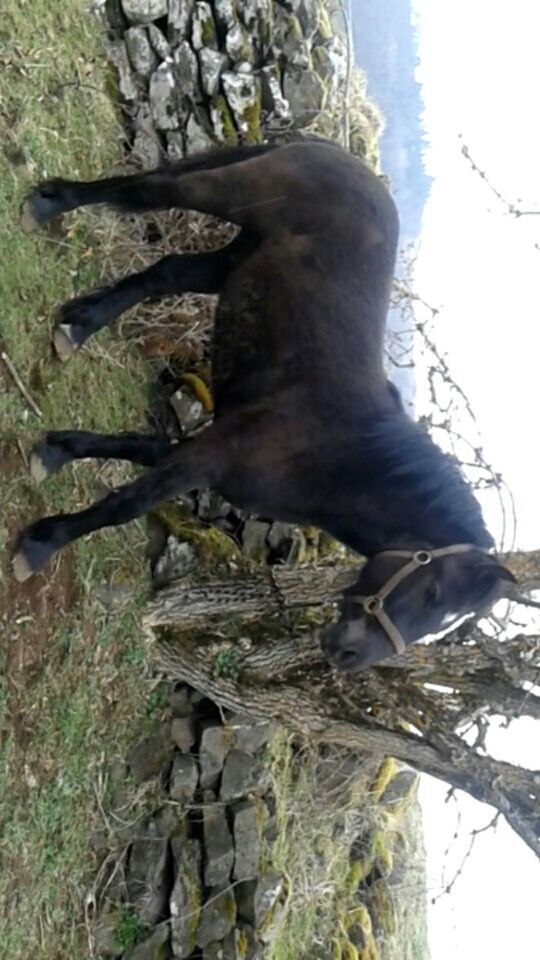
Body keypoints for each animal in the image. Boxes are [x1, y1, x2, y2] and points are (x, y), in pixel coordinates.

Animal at [10, 141, 512, 668]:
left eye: (443, 620)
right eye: (434, 593)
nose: (348, 657)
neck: (336, 451)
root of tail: (339, 156)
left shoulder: (211, 453)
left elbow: (135, 448)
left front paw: (56, 451)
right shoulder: (211, 454)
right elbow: (125, 504)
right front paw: (42, 545)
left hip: (239, 256)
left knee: (169, 270)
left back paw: (79, 325)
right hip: (229, 194)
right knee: (149, 190)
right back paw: (50, 203)